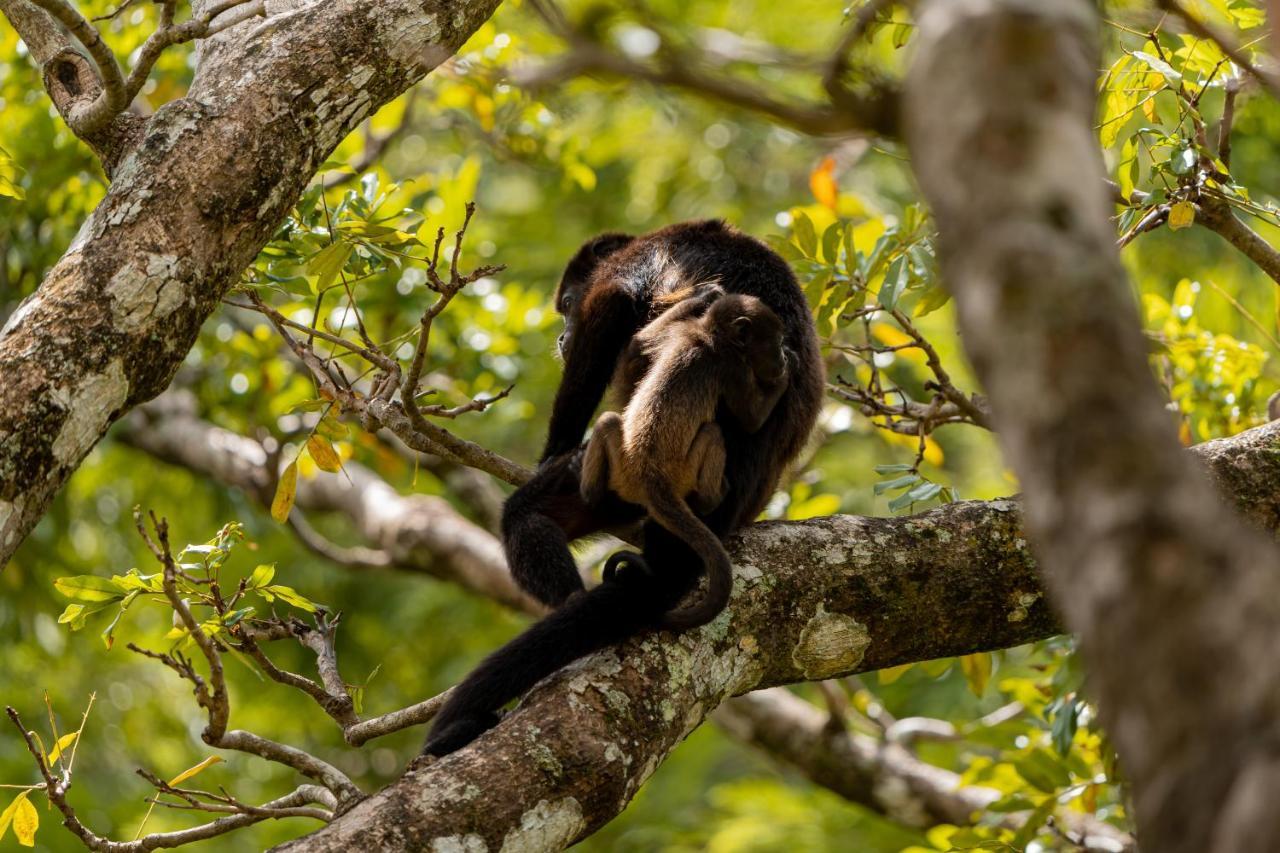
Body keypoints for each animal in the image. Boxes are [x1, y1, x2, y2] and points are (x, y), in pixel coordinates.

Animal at [583, 289, 788, 627]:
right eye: (778, 341)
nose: (783, 357)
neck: (709, 335)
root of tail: (650, 479)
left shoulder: (679, 332)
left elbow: (638, 343)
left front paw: (706, 295)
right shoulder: (734, 368)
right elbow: (751, 420)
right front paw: (782, 380)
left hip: (622, 466)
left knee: (609, 421)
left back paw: (591, 493)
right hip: (685, 471)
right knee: (713, 432)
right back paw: (712, 497)